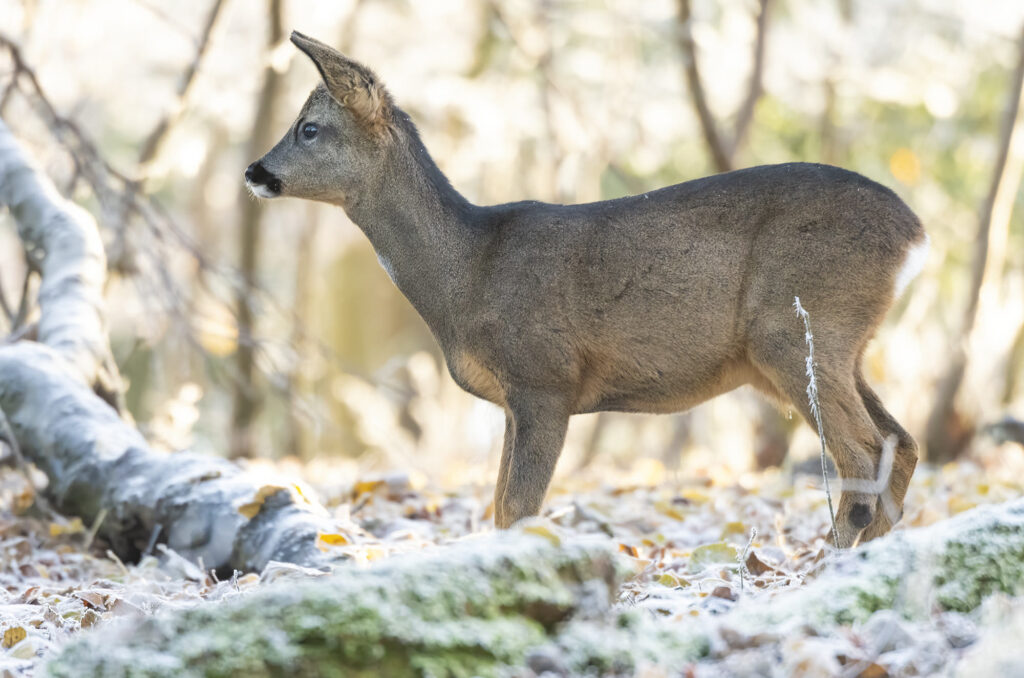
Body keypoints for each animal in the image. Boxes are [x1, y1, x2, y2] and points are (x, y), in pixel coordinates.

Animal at [245, 33, 929, 553]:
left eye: (309, 128)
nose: (254, 171)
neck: (469, 271)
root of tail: (916, 235)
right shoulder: (515, 401)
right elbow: (501, 507)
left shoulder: (546, 378)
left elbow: (518, 509)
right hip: (837, 345)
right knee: (902, 443)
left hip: (796, 328)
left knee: (865, 454)